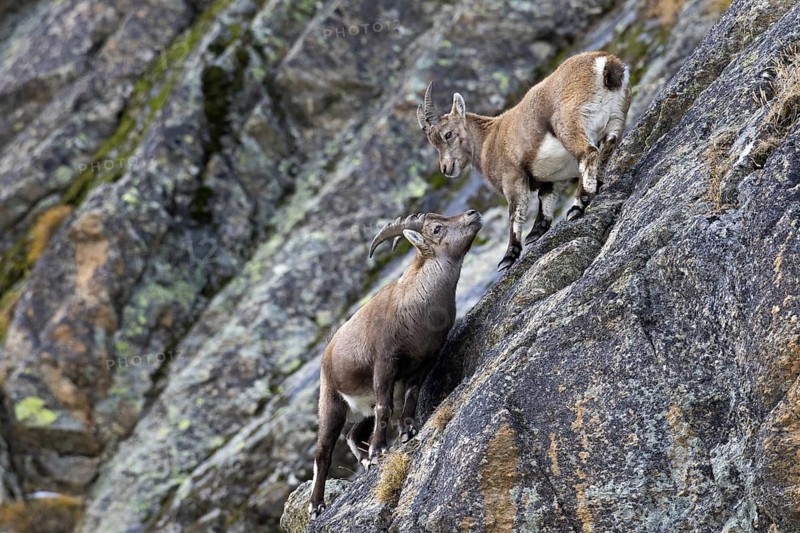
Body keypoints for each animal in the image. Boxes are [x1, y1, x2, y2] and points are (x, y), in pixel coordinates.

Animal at [308, 210, 483, 518]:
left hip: (360, 408)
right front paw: (380, 450)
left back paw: (365, 461)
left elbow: (412, 394)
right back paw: (317, 505)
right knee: (323, 452)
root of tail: (328, 351)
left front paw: (407, 431)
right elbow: (385, 407)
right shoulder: (385, 362)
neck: (418, 306)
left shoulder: (425, 361)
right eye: (436, 229)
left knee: (352, 434)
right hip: (330, 401)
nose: (472, 214)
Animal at [417, 51, 631, 271]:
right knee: (607, 147)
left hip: (569, 126)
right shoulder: (552, 175)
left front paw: (509, 256)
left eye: (448, 134)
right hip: (616, 118)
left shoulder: (512, 179)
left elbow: (515, 214)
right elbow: (545, 197)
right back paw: (596, 187)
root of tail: (605, 63)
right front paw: (537, 231)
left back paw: (578, 204)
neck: (488, 139)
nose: (446, 168)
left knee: (588, 153)